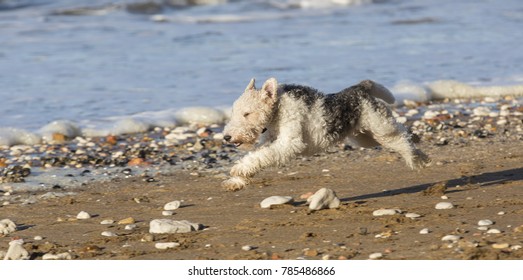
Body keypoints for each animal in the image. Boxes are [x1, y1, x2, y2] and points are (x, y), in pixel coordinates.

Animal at [221, 76, 430, 191]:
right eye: (234, 111)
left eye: (247, 113)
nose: (227, 137)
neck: (278, 109)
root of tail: (359, 89)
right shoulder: (272, 140)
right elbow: (257, 155)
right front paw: (236, 180)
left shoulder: (290, 142)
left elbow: (260, 156)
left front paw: (238, 170)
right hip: (366, 138)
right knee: (402, 136)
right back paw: (420, 151)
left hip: (382, 127)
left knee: (402, 137)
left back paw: (417, 159)